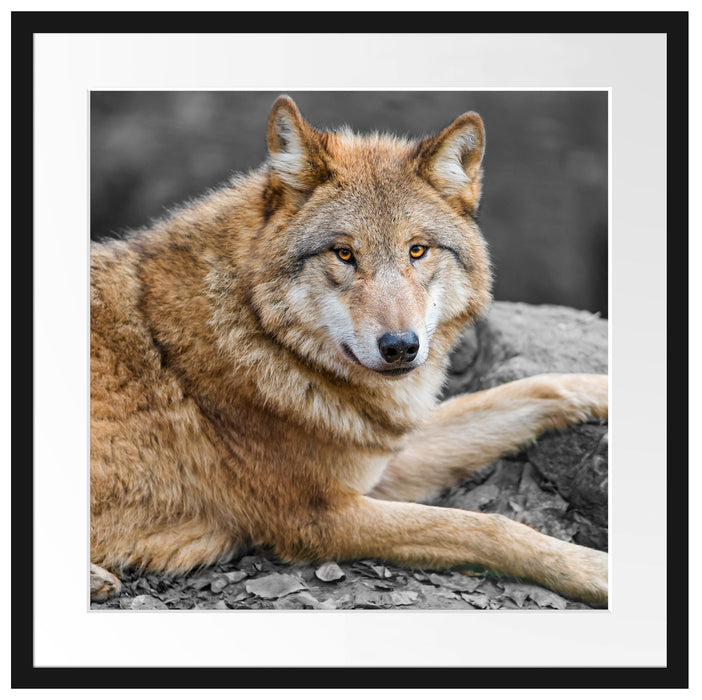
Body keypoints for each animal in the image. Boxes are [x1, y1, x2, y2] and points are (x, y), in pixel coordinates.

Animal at [90, 96, 608, 606]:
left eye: (417, 250)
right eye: (344, 254)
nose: (400, 347)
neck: (259, 332)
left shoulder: (381, 457)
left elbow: (535, 388)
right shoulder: (321, 517)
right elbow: (487, 527)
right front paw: (594, 570)